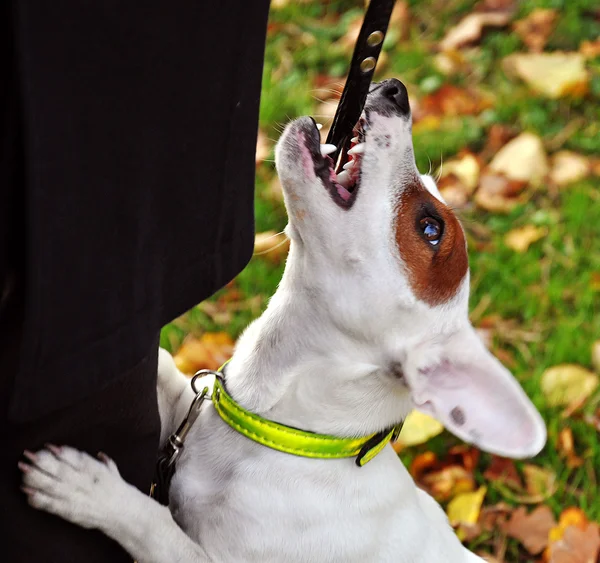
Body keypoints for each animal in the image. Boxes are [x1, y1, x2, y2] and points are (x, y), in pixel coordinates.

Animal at [18, 80, 548, 563]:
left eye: (431, 228)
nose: (397, 90)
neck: (275, 429)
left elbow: (158, 530)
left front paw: (91, 491)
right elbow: (164, 373)